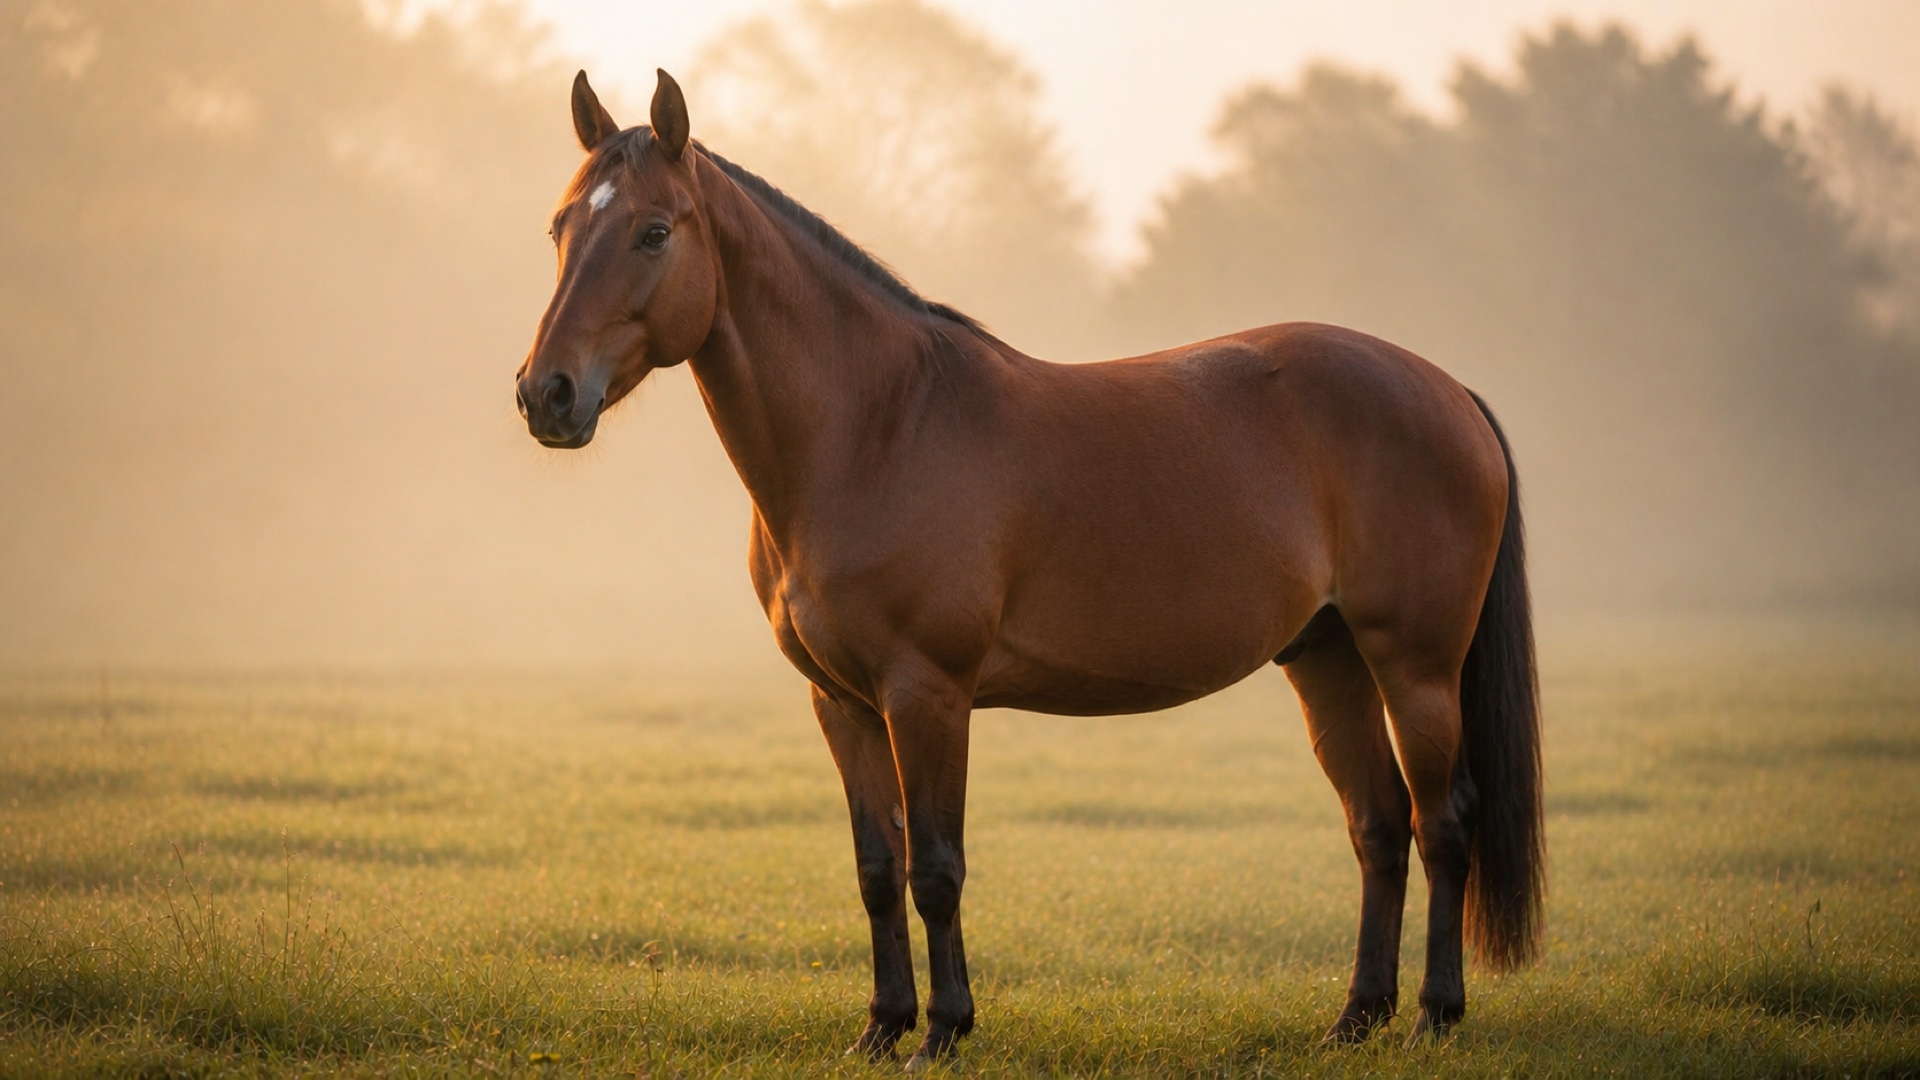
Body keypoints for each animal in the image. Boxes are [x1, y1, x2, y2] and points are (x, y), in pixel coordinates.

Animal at [516, 69, 1544, 1068]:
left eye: (654, 231)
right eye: (562, 226)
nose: (546, 394)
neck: (875, 429)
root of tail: (1449, 390)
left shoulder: (927, 693)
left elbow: (937, 867)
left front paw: (943, 1030)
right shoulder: (841, 704)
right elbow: (877, 869)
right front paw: (881, 1027)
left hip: (1414, 667)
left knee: (1443, 822)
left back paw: (1433, 1015)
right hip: (1326, 660)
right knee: (1378, 825)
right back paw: (1355, 1018)